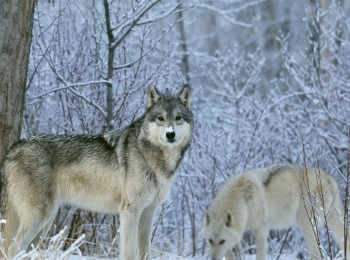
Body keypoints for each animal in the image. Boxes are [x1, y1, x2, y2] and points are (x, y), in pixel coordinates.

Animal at [0, 86, 193, 260]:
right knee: (12, 249)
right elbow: (129, 253)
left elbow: (145, 253)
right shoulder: (130, 211)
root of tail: (14, 148)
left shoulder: (148, 212)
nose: (170, 134)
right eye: (161, 118)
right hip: (39, 218)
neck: (153, 156)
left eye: (178, 118)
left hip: (45, 223)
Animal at [202, 165, 348, 260]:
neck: (242, 200)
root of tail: (329, 177)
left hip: (306, 224)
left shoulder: (261, 230)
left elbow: (260, 256)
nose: (213, 259)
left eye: (222, 241)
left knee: (316, 253)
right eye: (210, 241)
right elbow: (229, 253)